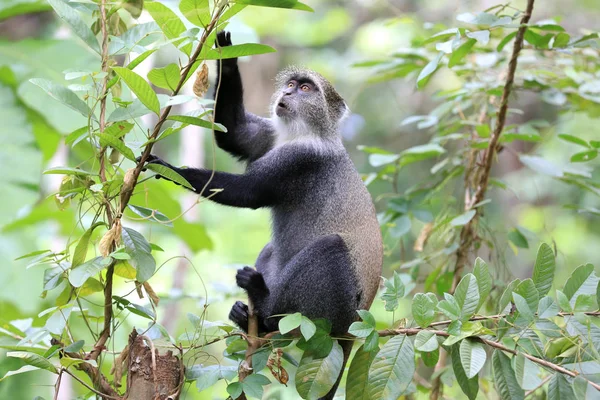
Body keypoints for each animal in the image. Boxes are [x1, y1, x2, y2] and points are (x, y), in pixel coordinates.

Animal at [143, 32, 382, 400]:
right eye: (291, 85)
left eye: (306, 89)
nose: (288, 94)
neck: (301, 131)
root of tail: (351, 334)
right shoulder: (271, 134)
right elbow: (236, 134)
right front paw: (227, 56)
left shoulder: (301, 159)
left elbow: (249, 193)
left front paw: (165, 167)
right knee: (272, 250)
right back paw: (248, 315)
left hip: (333, 309)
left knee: (331, 248)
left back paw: (265, 309)